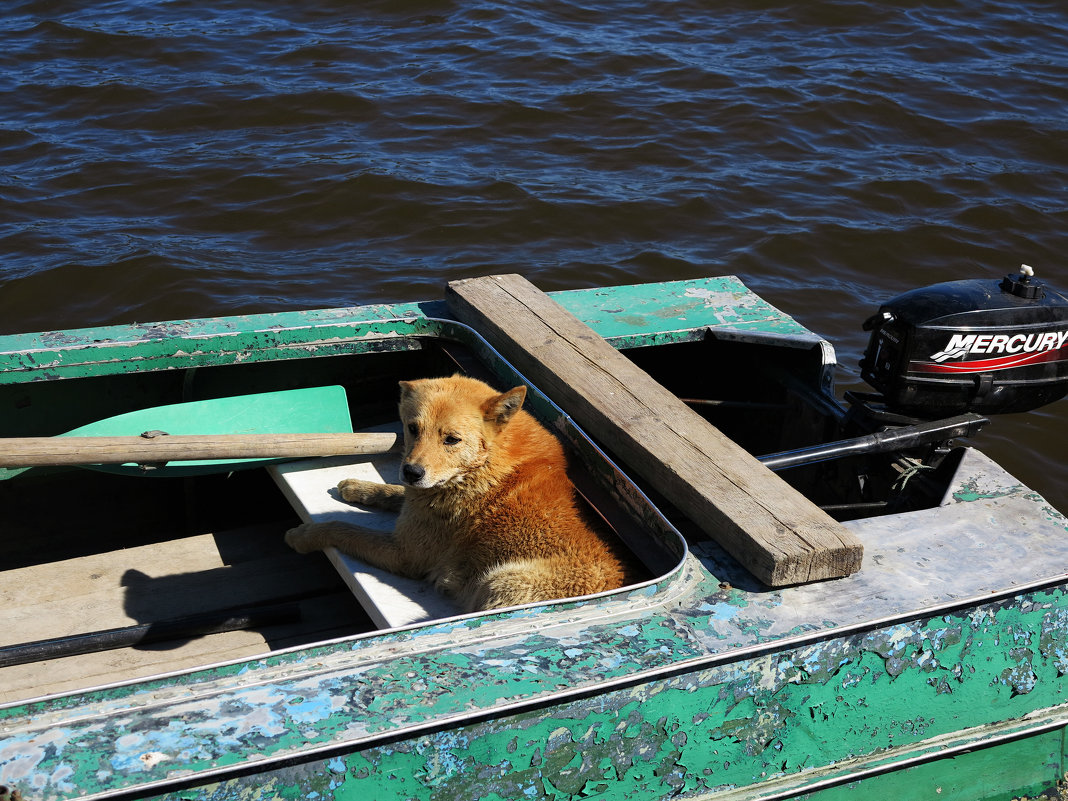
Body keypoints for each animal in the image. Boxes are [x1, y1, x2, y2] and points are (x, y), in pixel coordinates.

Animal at [286, 380, 632, 610]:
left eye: (451, 439)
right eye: (413, 428)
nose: (411, 472)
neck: (483, 465)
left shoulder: (405, 554)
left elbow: (343, 528)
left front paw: (305, 535)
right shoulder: (417, 504)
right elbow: (395, 495)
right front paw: (358, 488)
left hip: (500, 583)